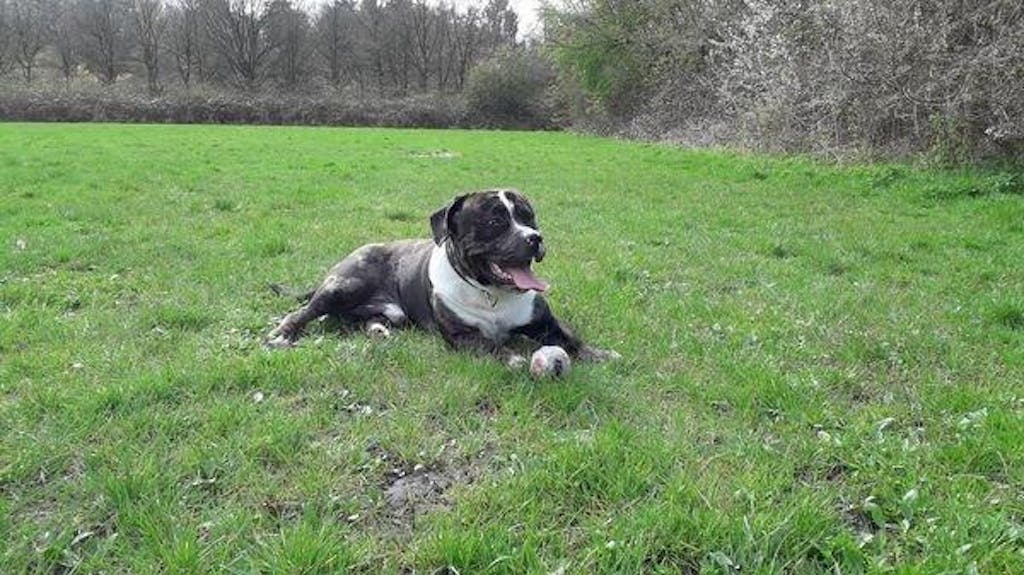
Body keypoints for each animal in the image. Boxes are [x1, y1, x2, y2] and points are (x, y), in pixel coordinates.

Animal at [266, 189, 619, 377]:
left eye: (528, 216)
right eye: (496, 221)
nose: (535, 237)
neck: (492, 294)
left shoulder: (546, 323)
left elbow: (572, 337)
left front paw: (599, 354)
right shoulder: (462, 336)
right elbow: (490, 345)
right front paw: (512, 357)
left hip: (392, 312)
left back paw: (377, 329)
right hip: (345, 285)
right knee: (305, 311)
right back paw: (283, 334)